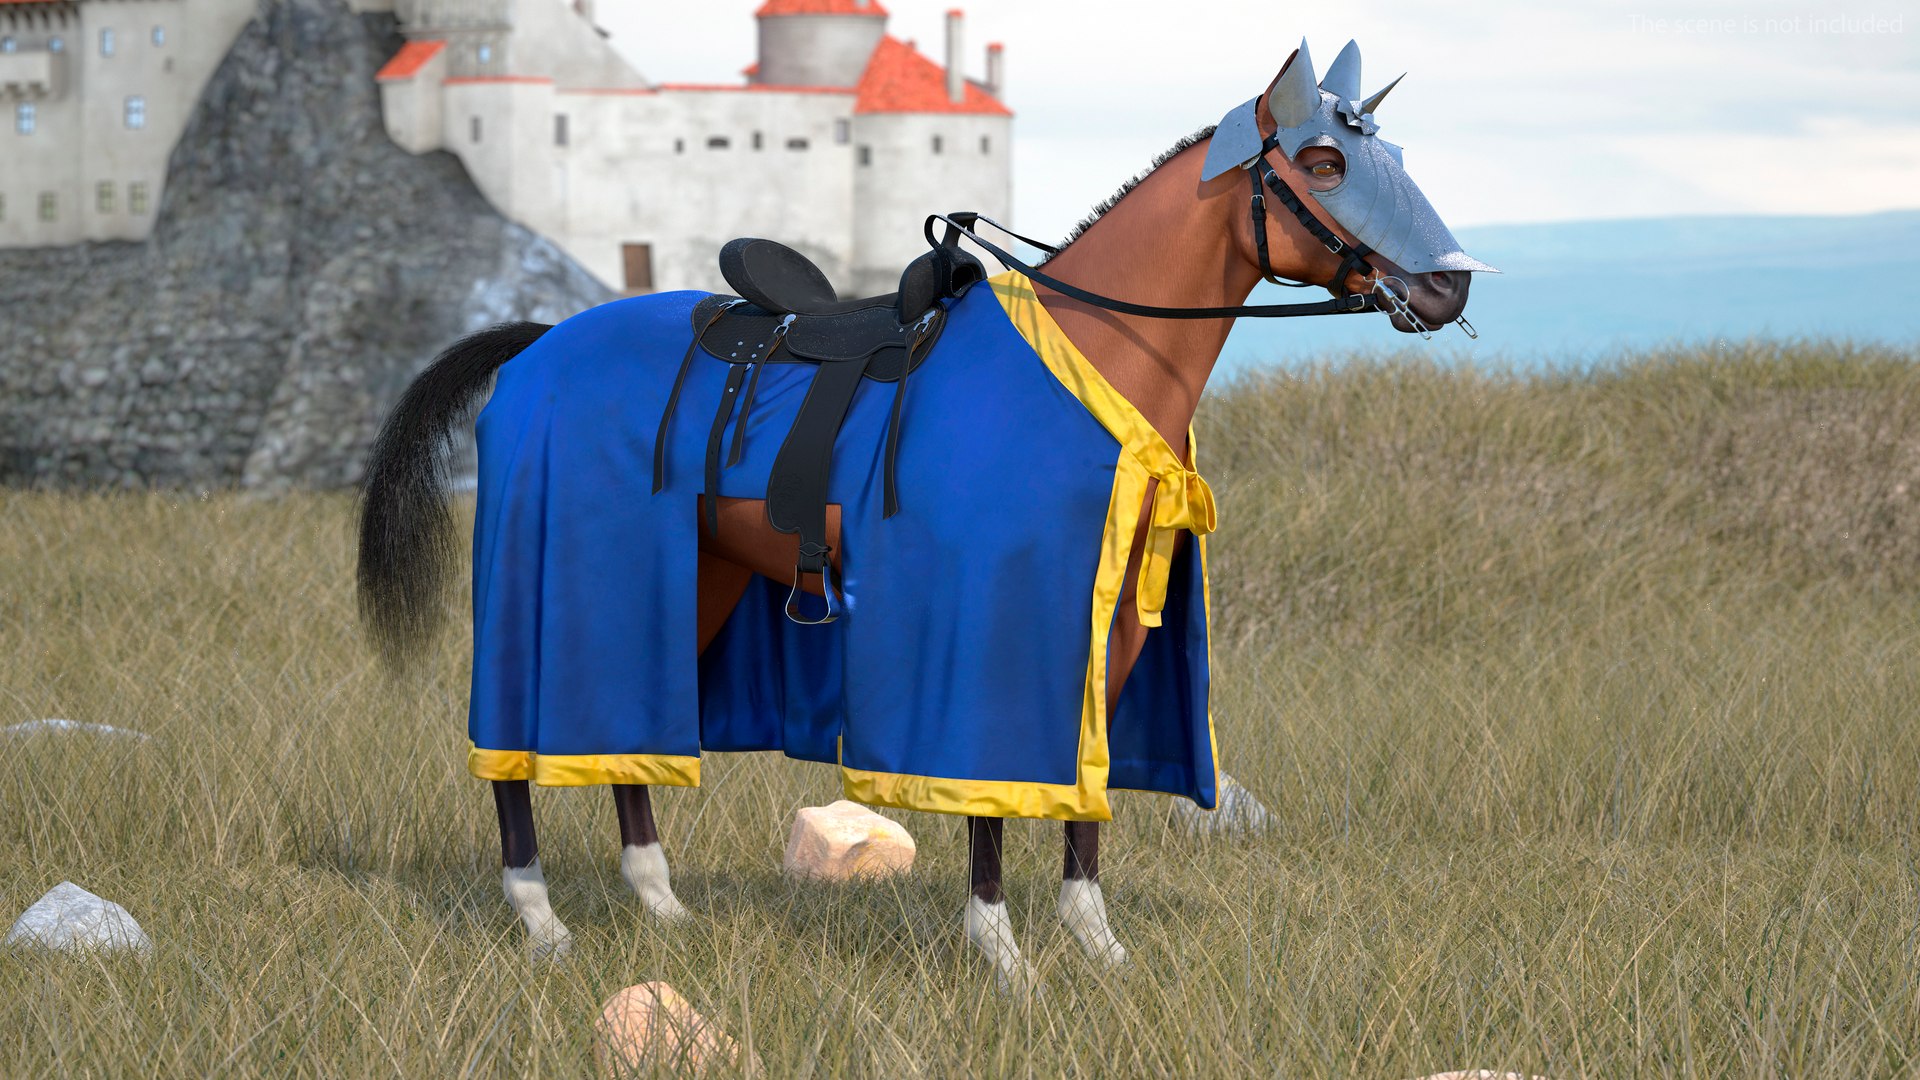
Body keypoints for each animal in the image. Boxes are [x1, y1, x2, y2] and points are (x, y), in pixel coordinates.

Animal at [356, 39, 1484, 993]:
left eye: (1380, 153)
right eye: (1326, 162)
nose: (1447, 289)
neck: (1091, 359)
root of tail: (539, 345)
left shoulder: (1109, 627)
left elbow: (1086, 797)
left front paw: (1100, 951)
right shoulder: (986, 627)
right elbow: (986, 804)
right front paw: (1007, 961)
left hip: (687, 579)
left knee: (628, 737)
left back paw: (662, 906)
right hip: (569, 576)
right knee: (521, 748)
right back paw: (540, 921)